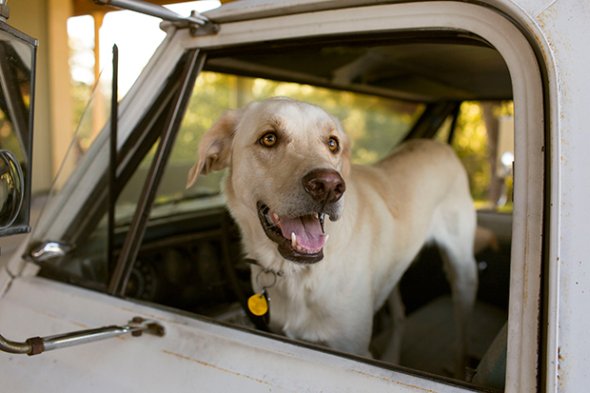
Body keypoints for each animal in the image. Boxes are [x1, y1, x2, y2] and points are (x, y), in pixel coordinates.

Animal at [187, 96, 478, 376]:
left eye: (332, 143)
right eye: (269, 138)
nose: (329, 185)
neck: (296, 273)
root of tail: (441, 146)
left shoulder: (353, 348)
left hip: (463, 274)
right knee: (400, 314)